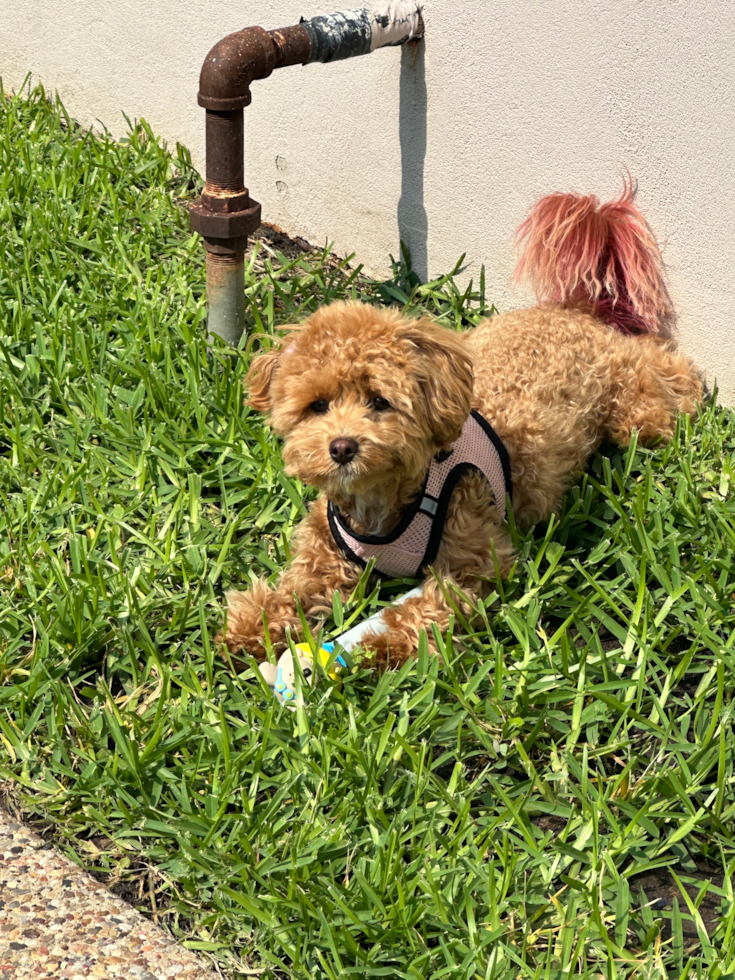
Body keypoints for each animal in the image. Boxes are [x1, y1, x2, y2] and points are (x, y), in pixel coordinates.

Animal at [223, 186, 700, 668]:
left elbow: (427, 608)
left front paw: (378, 646)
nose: (342, 447)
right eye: (317, 405)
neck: (386, 501)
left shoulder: (476, 557)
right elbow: (299, 586)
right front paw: (256, 623)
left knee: (658, 370)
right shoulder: (327, 551)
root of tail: (574, 311)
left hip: (633, 401)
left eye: (379, 402)